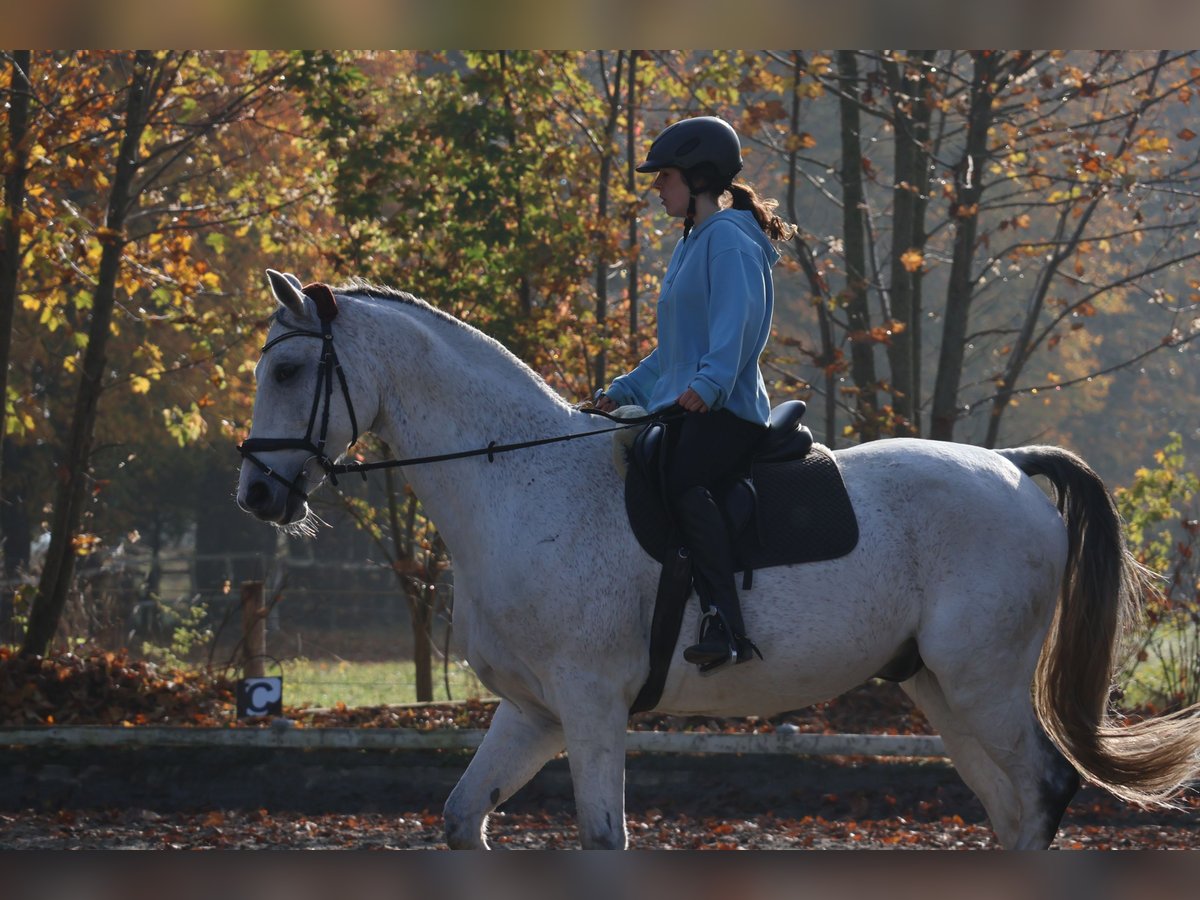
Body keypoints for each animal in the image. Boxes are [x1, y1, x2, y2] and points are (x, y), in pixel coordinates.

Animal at [236, 271, 1200, 849]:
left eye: (287, 371)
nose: (256, 496)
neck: (519, 480)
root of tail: (1010, 466)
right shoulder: (535, 712)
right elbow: (461, 817)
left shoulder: (590, 704)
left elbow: (604, 838)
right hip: (937, 685)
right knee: (1010, 808)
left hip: (982, 680)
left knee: (1040, 790)